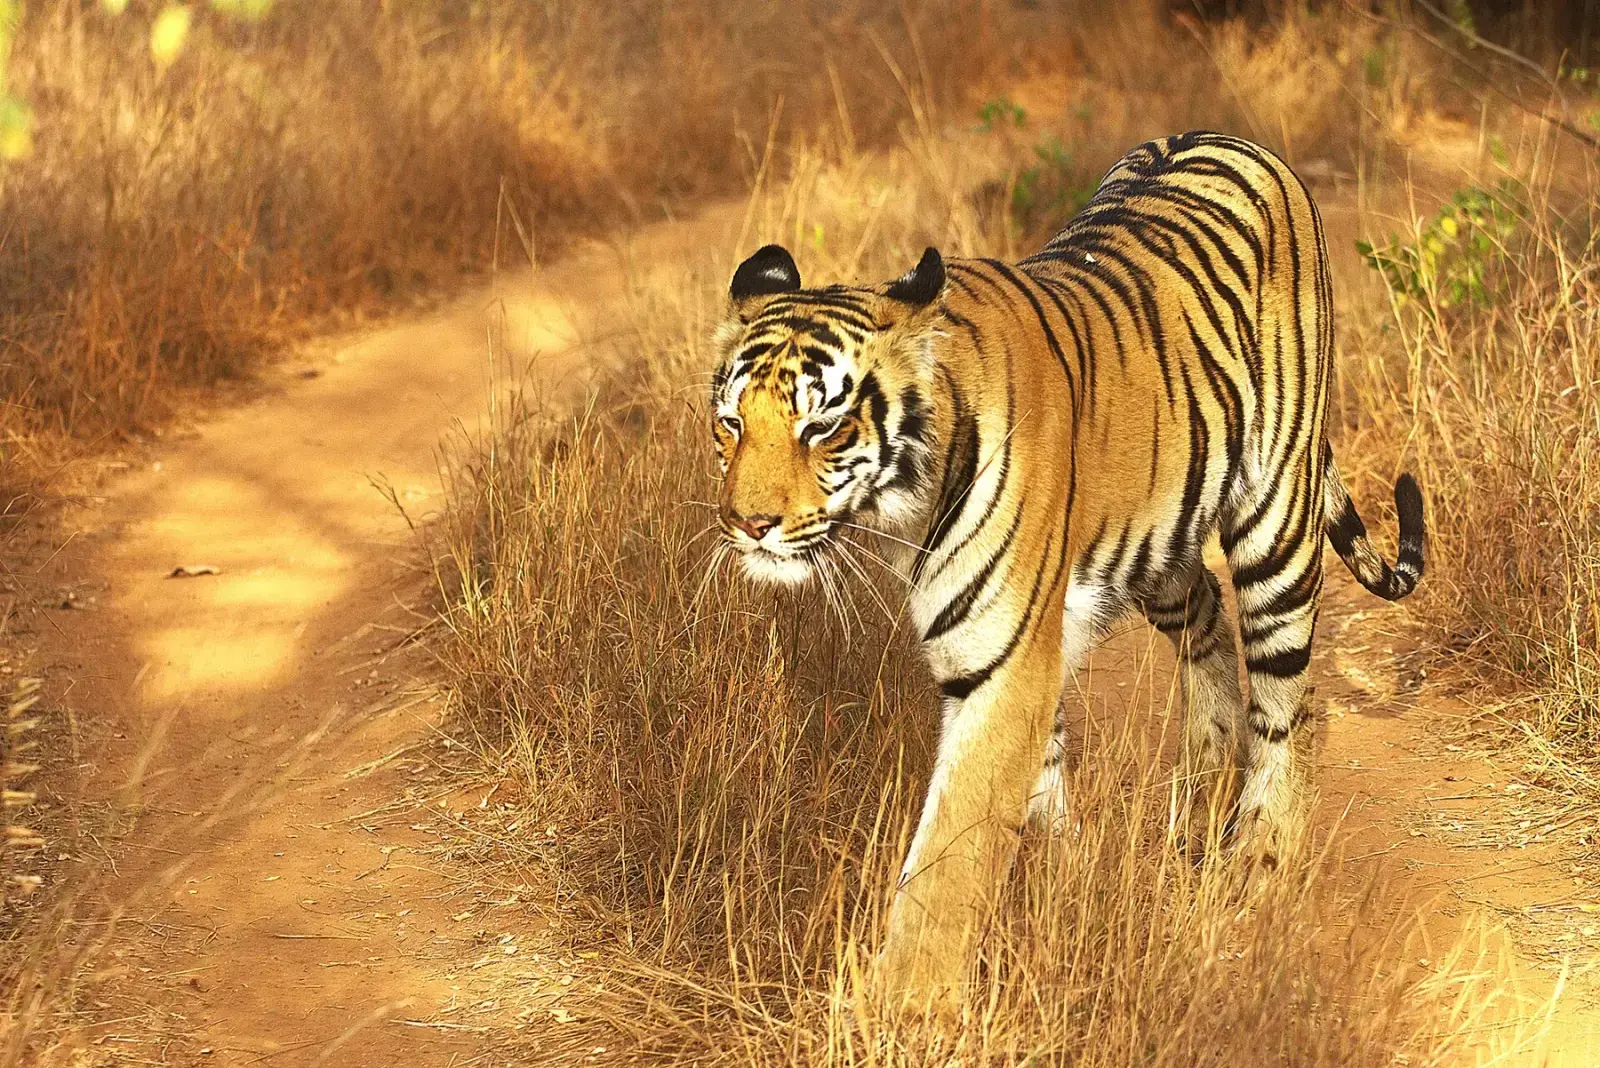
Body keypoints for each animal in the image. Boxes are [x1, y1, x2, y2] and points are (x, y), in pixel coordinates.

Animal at [706, 130, 1425, 1009]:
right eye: (731, 423)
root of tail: (1231, 138)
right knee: (1209, 625)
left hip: (1276, 521)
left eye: (824, 428)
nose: (748, 524)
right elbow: (1032, 791)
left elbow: (947, 857)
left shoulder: (1002, 668)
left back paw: (1260, 863)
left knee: (1290, 703)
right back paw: (1199, 801)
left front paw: (900, 1008)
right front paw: (1061, 881)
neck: (904, 508)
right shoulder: (1010, 656)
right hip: (1159, 539)